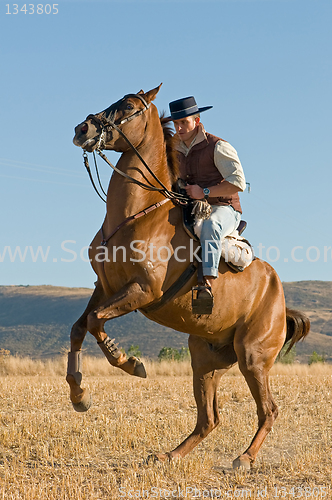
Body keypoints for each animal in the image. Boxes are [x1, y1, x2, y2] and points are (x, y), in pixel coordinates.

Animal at [68, 83, 310, 468]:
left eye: (129, 107)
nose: (83, 129)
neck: (136, 216)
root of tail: (279, 300)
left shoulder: (142, 290)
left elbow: (94, 322)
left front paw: (129, 362)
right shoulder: (104, 287)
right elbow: (80, 327)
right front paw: (79, 395)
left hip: (252, 357)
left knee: (268, 410)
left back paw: (244, 458)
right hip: (205, 359)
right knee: (209, 418)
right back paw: (168, 455)